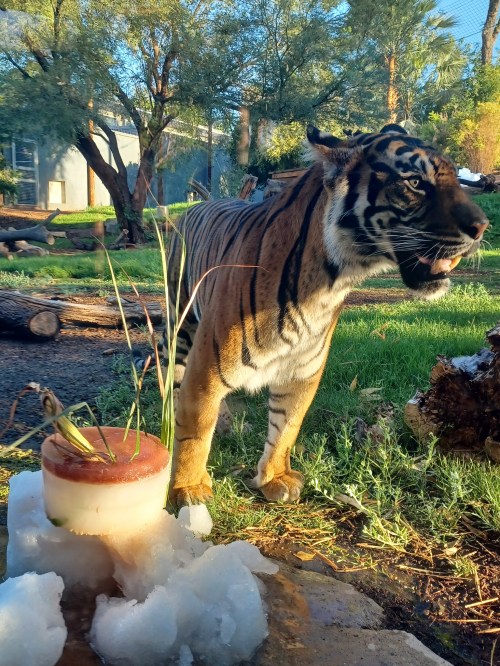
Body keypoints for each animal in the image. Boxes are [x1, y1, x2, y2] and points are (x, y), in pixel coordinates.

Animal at [159, 123, 489, 508]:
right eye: (415, 182)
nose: (482, 227)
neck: (329, 283)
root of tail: (197, 205)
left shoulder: (303, 371)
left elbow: (286, 427)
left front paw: (274, 478)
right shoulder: (207, 368)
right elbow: (195, 431)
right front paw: (188, 490)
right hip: (180, 325)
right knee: (171, 377)